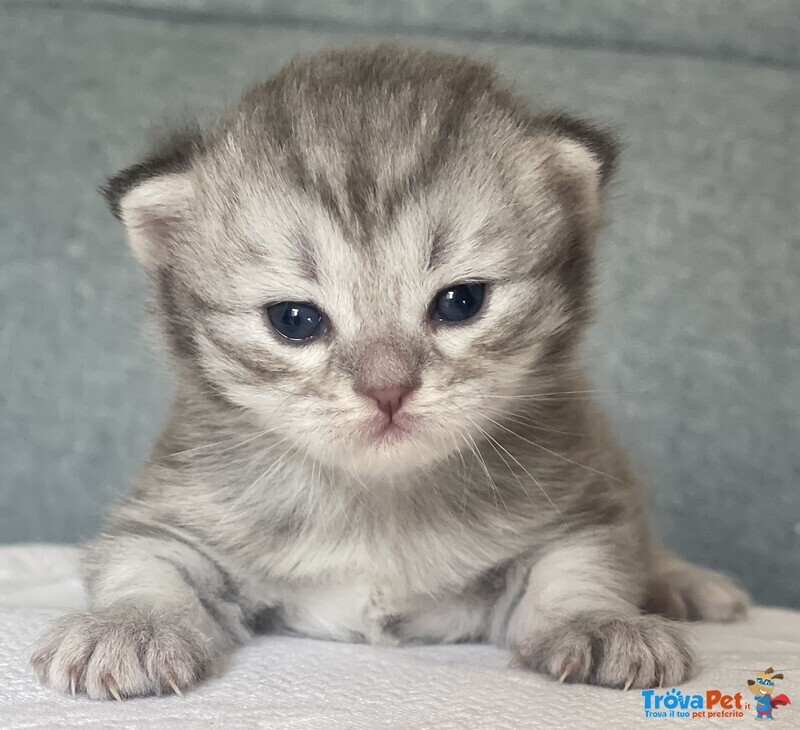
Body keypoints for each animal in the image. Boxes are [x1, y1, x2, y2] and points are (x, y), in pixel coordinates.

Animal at [31, 47, 748, 700]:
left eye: (461, 302)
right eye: (294, 320)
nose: (387, 390)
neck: (375, 503)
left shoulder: (573, 506)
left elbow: (581, 566)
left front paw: (599, 622)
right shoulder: (173, 512)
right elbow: (144, 565)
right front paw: (130, 627)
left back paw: (685, 584)